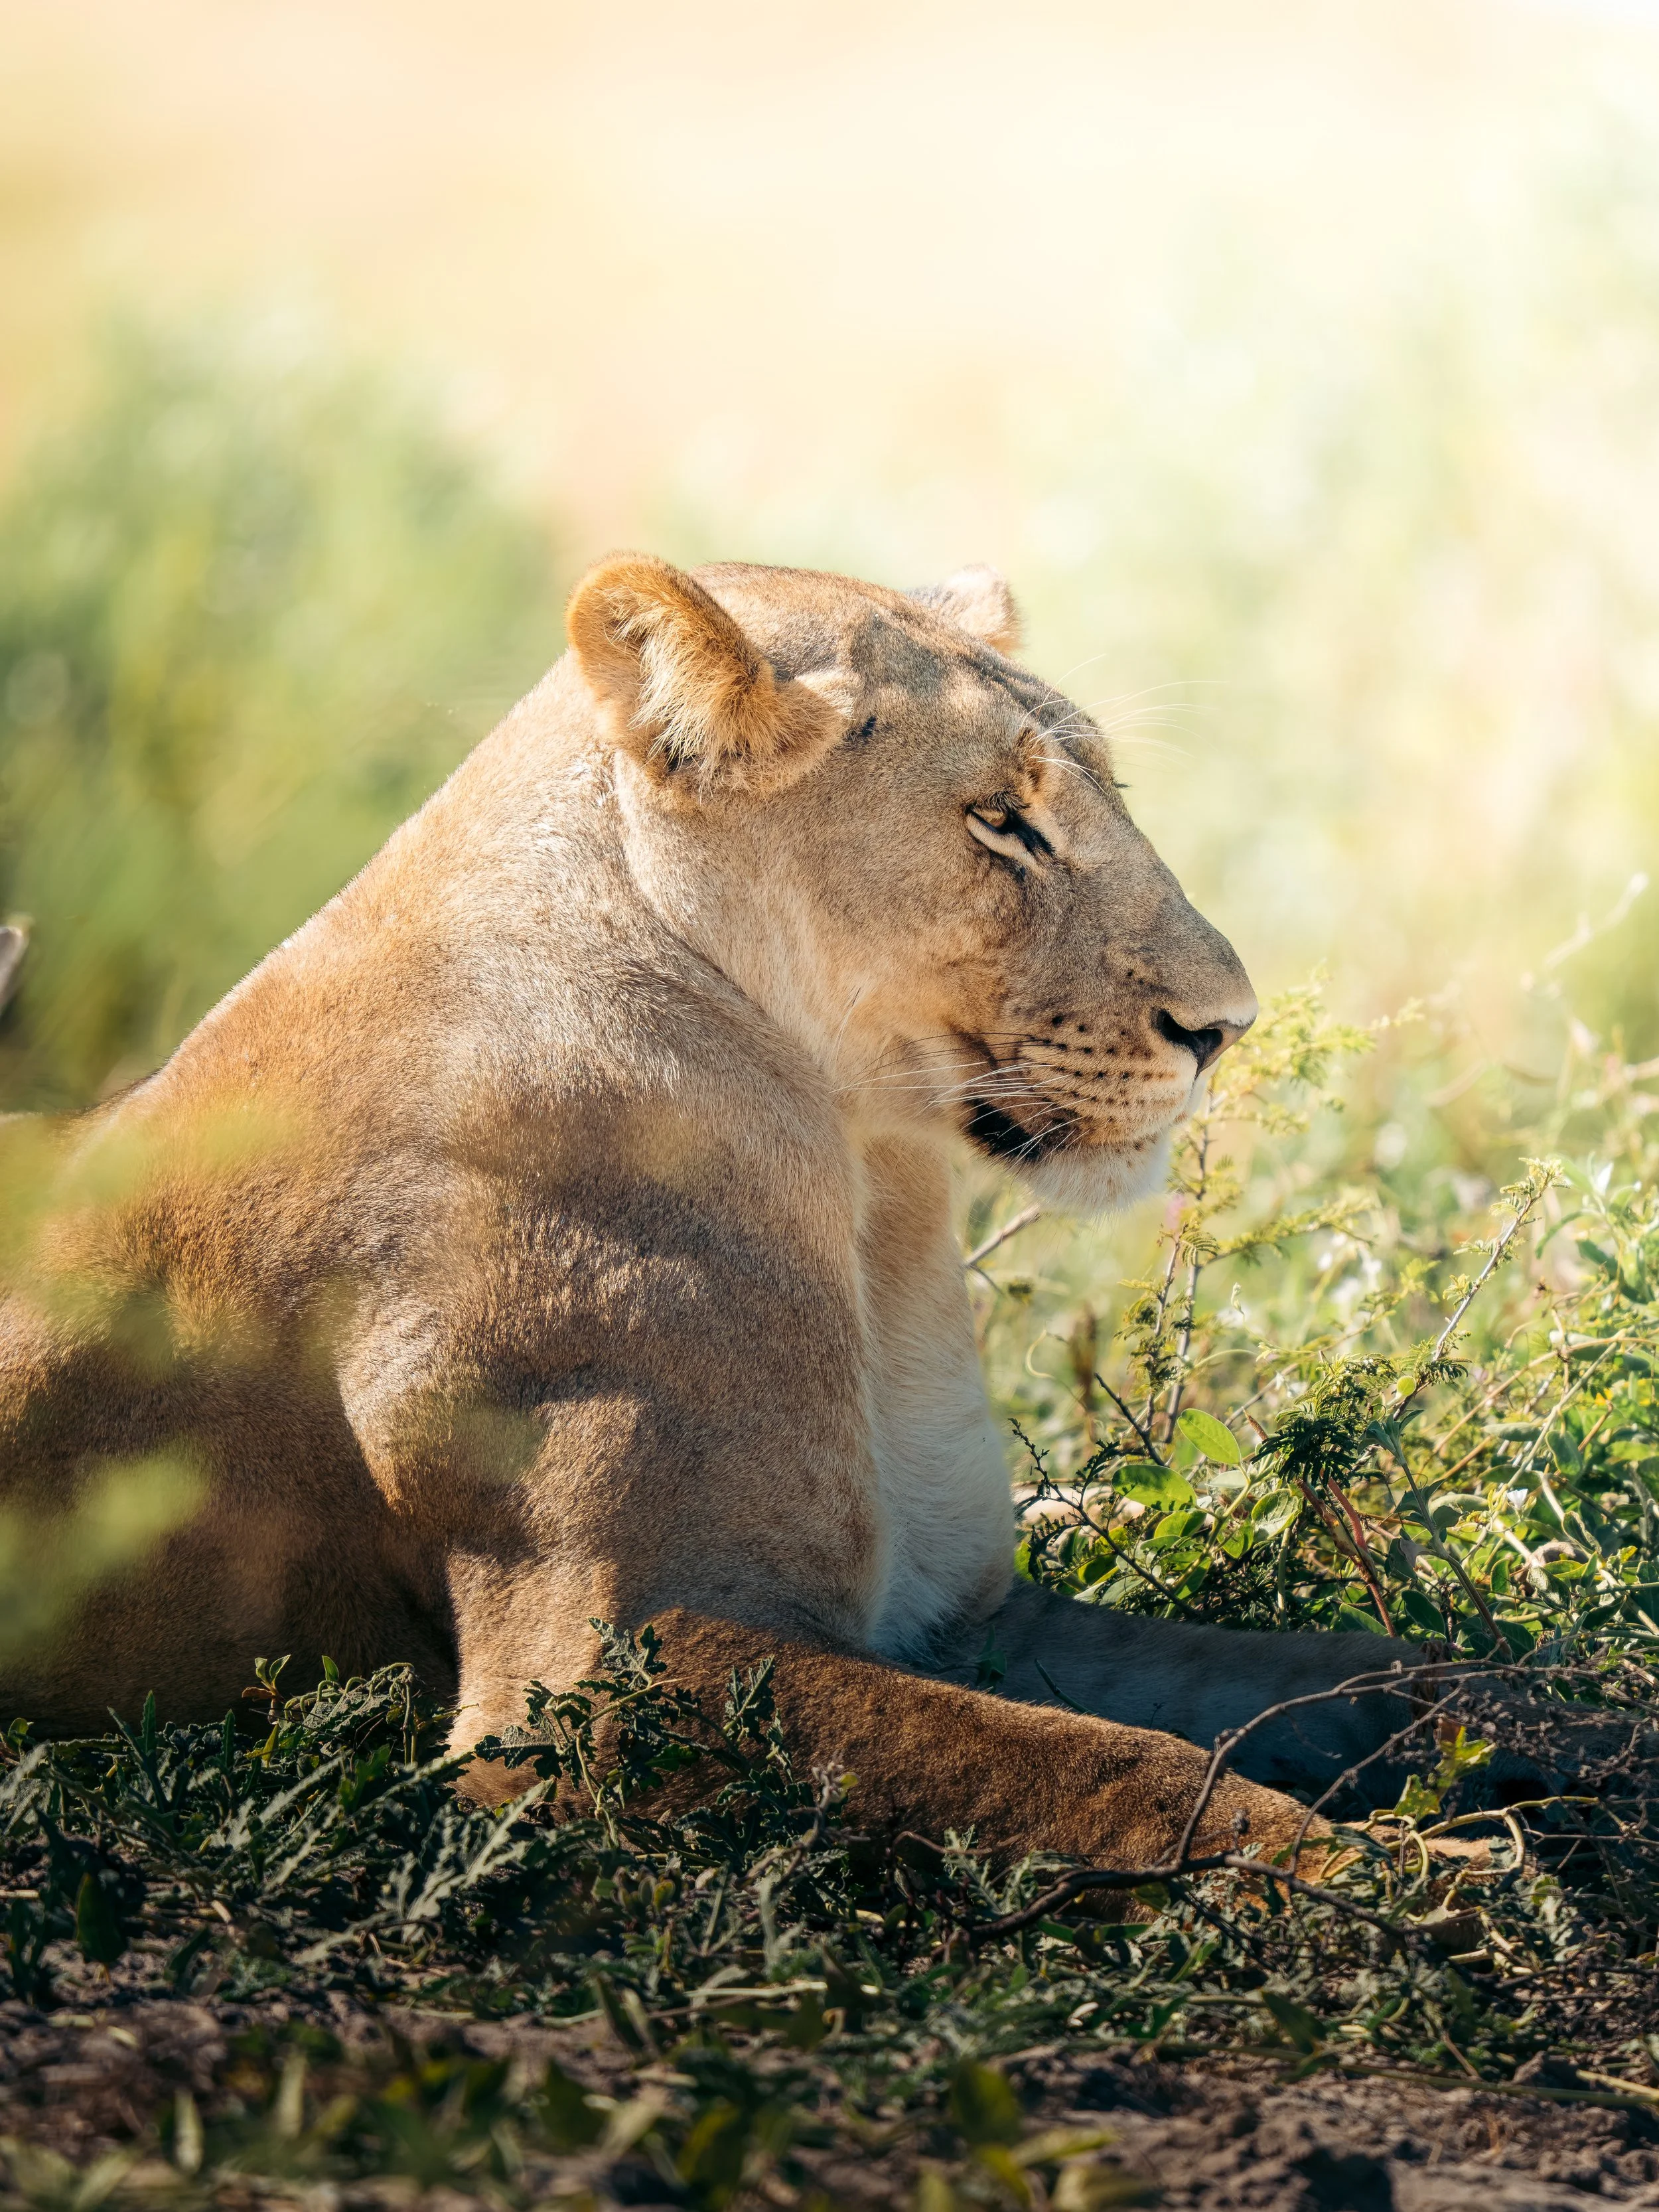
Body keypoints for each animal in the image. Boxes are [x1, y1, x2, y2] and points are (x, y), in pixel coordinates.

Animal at [0, 552, 1434, 1871]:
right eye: (997, 820)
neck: (869, 1190)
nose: (1225, 1024)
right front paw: (1414, 1884)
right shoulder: (595, 1681)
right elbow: (1117, 1774)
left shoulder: (970, 1614)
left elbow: (1354, 1668)